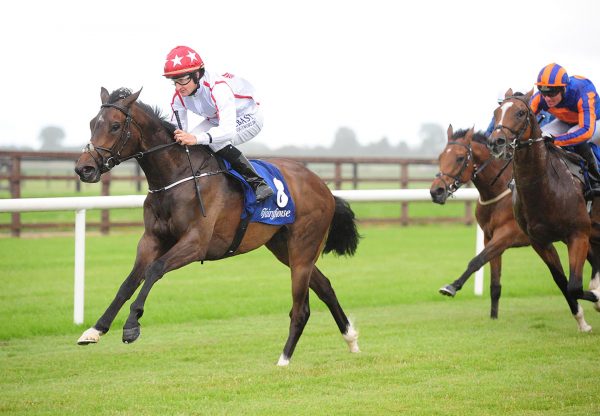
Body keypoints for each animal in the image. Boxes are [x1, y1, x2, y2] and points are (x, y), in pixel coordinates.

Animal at [72, 87, 358, 364]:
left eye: (115, 126)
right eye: (92, 123)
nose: (84, 168)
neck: (176, 178)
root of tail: (323, 187)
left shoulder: (196, 243)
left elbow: (155, 270)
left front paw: (132, 325)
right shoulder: (151, 240)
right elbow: (129, 282)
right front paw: (95, 329)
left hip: (303, 247)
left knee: (301, 309)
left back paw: (284, 359)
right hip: (283, 247)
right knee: (325, 286)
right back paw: (351, 339)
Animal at [428, 125, 528, 316]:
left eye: (460, 158)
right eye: (440, 157)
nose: (436, 191)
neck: (500, 191)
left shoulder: (507, 235)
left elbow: (477, 260)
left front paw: (452, 286)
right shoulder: (489, 237)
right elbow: (495, 285)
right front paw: (493, 318)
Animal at [488, 88, 600, 332]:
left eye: (520, 113)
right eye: (496, 112)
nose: (496, 142)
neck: (545, 188)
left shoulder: (578, 234)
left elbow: (575, 285)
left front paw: (597, 299)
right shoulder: (540, 242)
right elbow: (564, 283)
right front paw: (583, 321)